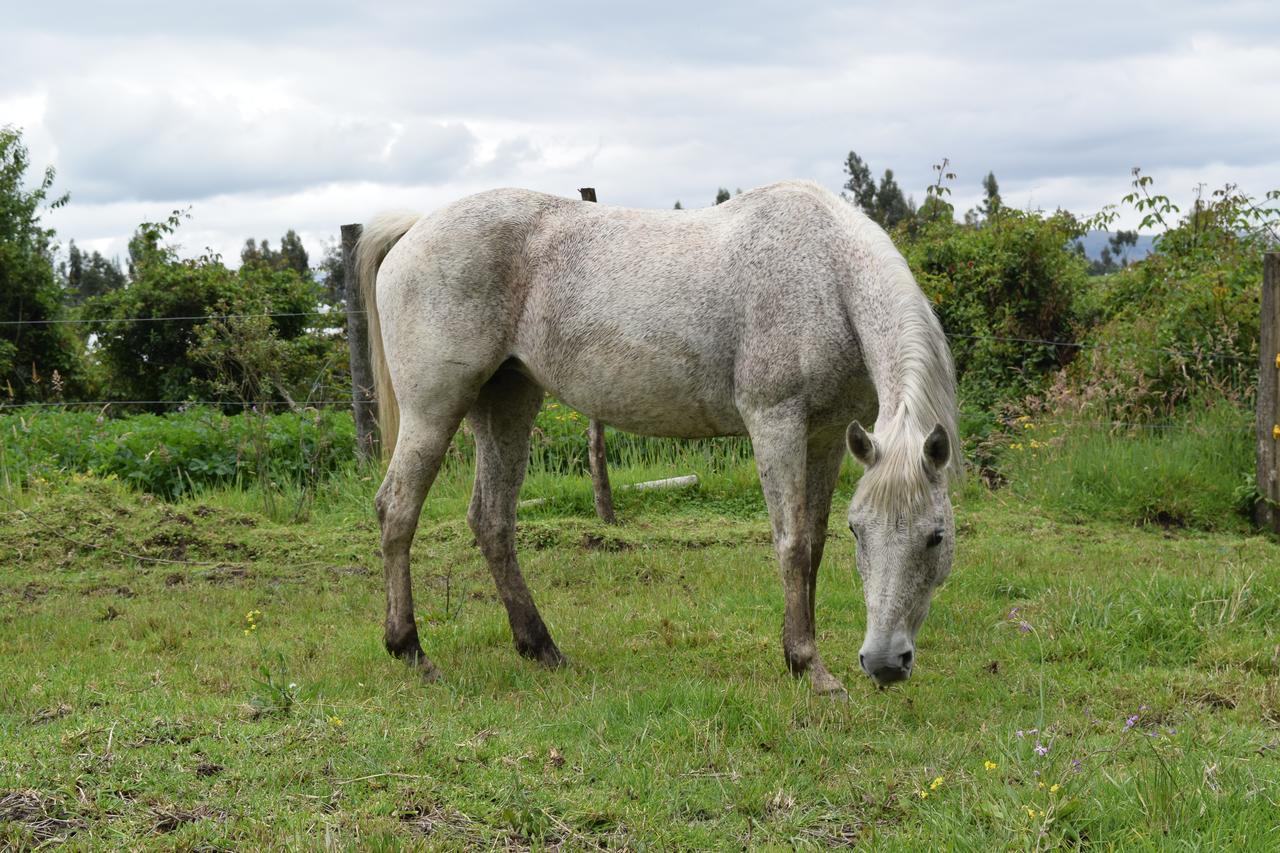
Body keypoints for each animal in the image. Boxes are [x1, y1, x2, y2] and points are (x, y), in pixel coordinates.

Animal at [355, 179, 957, 691]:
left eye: (935, 535)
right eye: (863, 533)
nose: (885, 663)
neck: (826, 274)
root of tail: (417, 226)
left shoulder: (828, 435)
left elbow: (812, 543)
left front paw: (800, 657)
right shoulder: (776, 422)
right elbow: (790, 543)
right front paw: (810, 667)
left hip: (506, 404)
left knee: (492, 521)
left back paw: (541, 647)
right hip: (434, 410)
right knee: (397, 510)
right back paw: (411, 649)